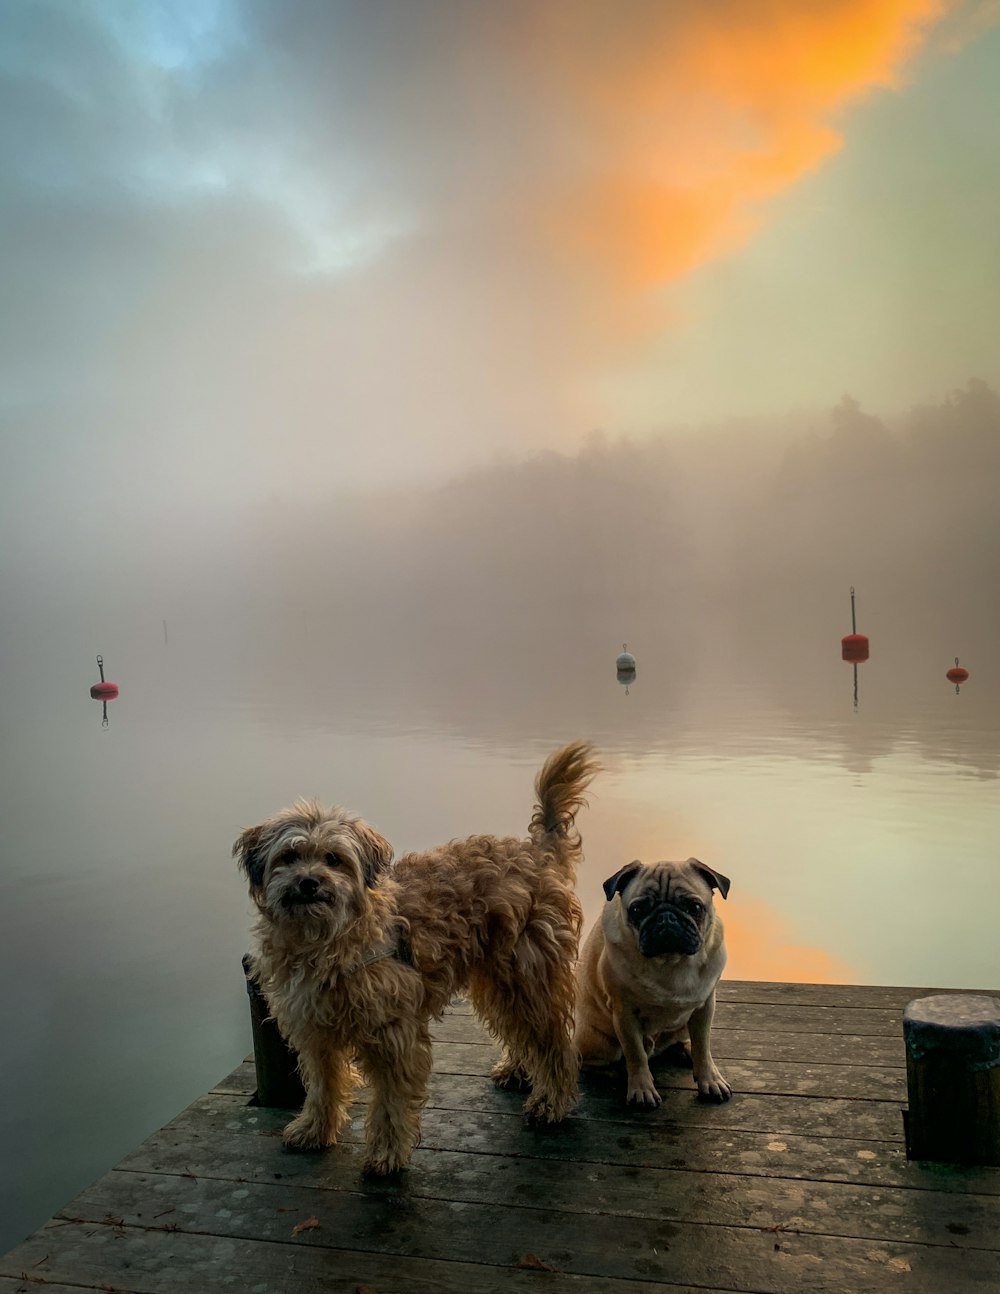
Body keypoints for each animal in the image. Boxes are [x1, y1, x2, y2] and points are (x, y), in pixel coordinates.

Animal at [230, 740, 597, 1174]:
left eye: (334, 858)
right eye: (288, 857)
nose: (309, 882)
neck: (326, 939)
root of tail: (535, 853)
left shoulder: (393, 1033)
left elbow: (390, 1101)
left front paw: (386, 1154)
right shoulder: (313, 1028)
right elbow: (322, 1084)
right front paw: (314, 1129)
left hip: (528, 975)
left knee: (552, 1041)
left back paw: (551, 1101)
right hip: (498, 978)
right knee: (521, 1030)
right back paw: (517, 1069)